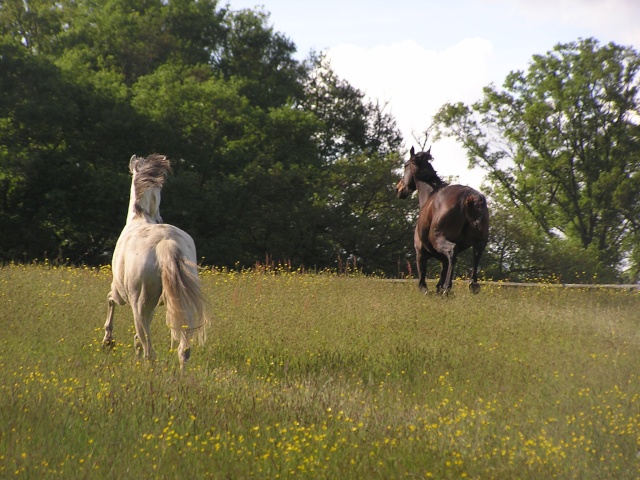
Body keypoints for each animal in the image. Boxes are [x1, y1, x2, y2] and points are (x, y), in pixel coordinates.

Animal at [102, 154, 208, 368]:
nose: (159, 217)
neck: (139, 218)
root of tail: (166, 243)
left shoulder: (119, 292)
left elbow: (110, 300)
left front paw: (108, 341)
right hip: (181, 303)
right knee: (183, 348)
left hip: (139, 304)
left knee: (149, 347)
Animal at [396, 146, 490, 294]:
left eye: (405, 165)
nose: (398, 188)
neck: (429, 195)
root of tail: (469, 197)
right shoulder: (442, 259)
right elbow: (442, 273)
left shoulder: (420, 252)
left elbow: (422, 280)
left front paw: (432, 289)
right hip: (481, 241)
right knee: (476, 254)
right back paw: (473, 285)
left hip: (438, 238)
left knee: (452, 251)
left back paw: (448, 288)